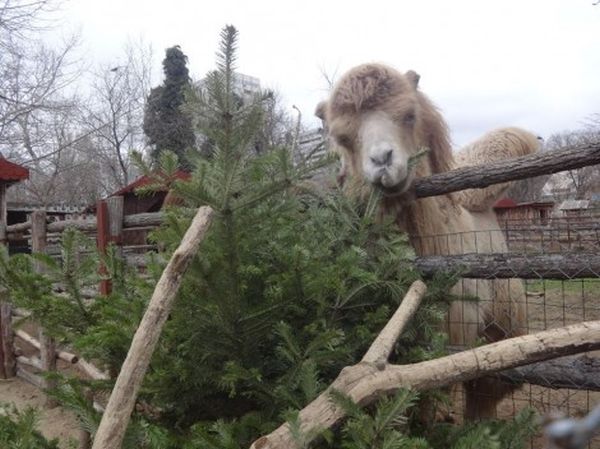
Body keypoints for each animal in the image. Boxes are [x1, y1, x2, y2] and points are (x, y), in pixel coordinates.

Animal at [316, 61, 540, 418]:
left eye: (409, 115)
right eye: (342, 137)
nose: (382, 162)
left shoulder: (443, 345)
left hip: (503, 324)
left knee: (487, 388)